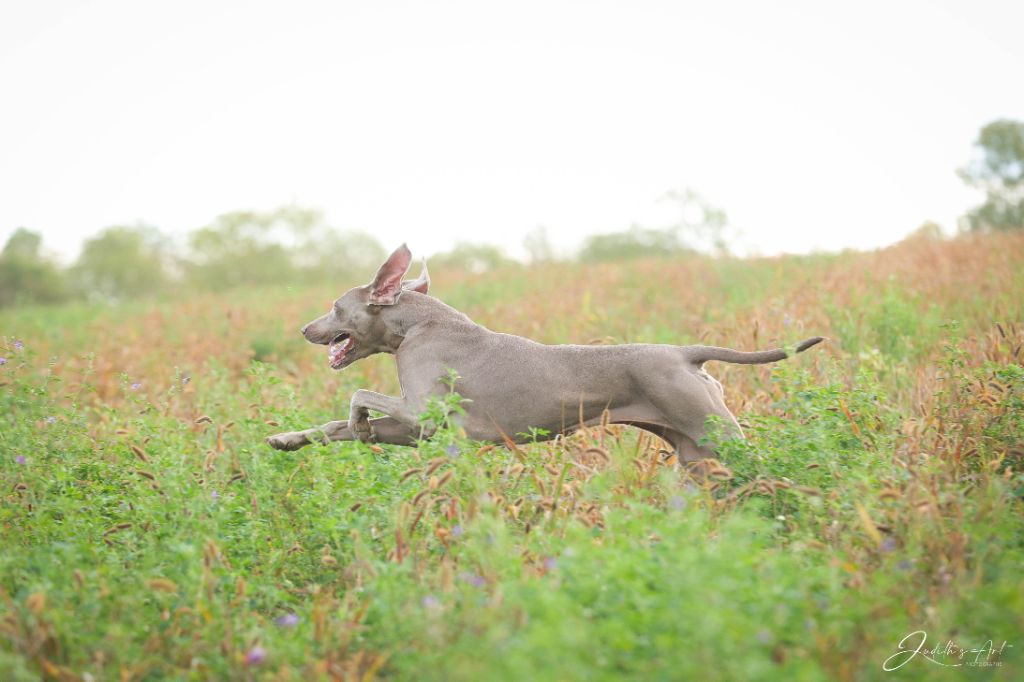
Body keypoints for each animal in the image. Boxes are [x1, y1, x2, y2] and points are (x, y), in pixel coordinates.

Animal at [266, 241, 823, 458]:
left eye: (335, 307)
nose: (304, 329)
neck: (417, 324)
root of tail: (685, 352)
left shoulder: (426, 413)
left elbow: (358, 395)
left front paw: (356, 421)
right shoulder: (416, 431)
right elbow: (333, 426)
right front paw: (288, 439)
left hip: (715, 435)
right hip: (695, 456)